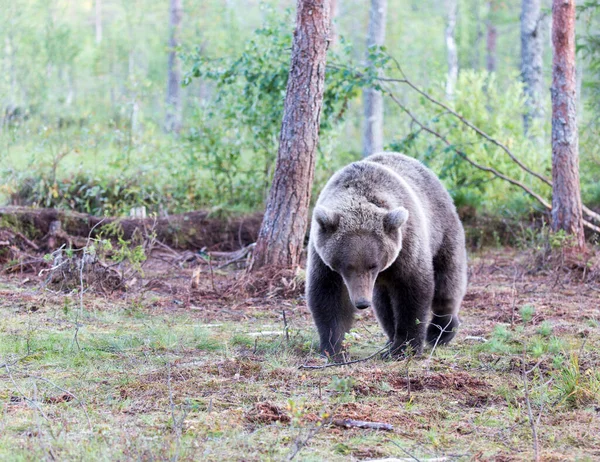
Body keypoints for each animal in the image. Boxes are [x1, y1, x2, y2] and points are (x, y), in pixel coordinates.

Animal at [308, 152, 466, 358]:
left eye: (372, 264)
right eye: (347, 267)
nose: (362, 302)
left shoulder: (406, 247)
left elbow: (412, 292)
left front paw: (405, 348)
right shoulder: (323, 259)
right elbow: (328, 296)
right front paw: (334, 349)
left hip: (442, 231)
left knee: (447, 282)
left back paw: (440, 331)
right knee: (383, 303)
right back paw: (391, 338)